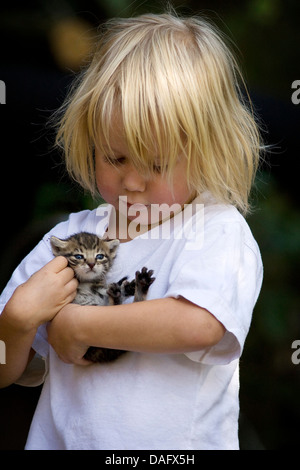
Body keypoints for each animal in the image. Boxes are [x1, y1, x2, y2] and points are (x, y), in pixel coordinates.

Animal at [49, 232, 155, 364]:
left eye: (99, 256)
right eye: (78, 256)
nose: (91, 264)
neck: (86, 283)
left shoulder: (101, 291)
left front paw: (127, 288)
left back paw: (137, 286)